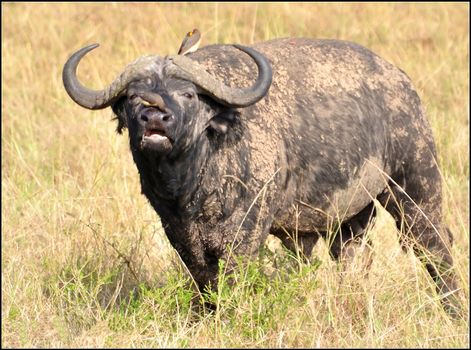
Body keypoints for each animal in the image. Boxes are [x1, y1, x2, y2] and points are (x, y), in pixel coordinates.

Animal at [61, 37, 460, 314]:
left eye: (188, 94)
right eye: (133, 97)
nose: (154, 117)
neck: (192, 185)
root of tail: (402, 82)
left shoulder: (247, 231)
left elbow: (233, 278)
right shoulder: (179, 233)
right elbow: (203, 280)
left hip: (415, 186)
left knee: (435, 246)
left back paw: (453, 310)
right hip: (350, 218)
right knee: (354, 257)